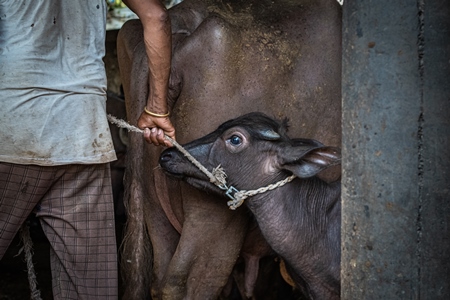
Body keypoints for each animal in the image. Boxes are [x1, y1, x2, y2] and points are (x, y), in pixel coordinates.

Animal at [116, 0, 342, 298]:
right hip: (213, 223)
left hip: (153, 208)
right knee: (188, 283)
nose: (172, 155)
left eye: (233, 137)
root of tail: (180, 19)